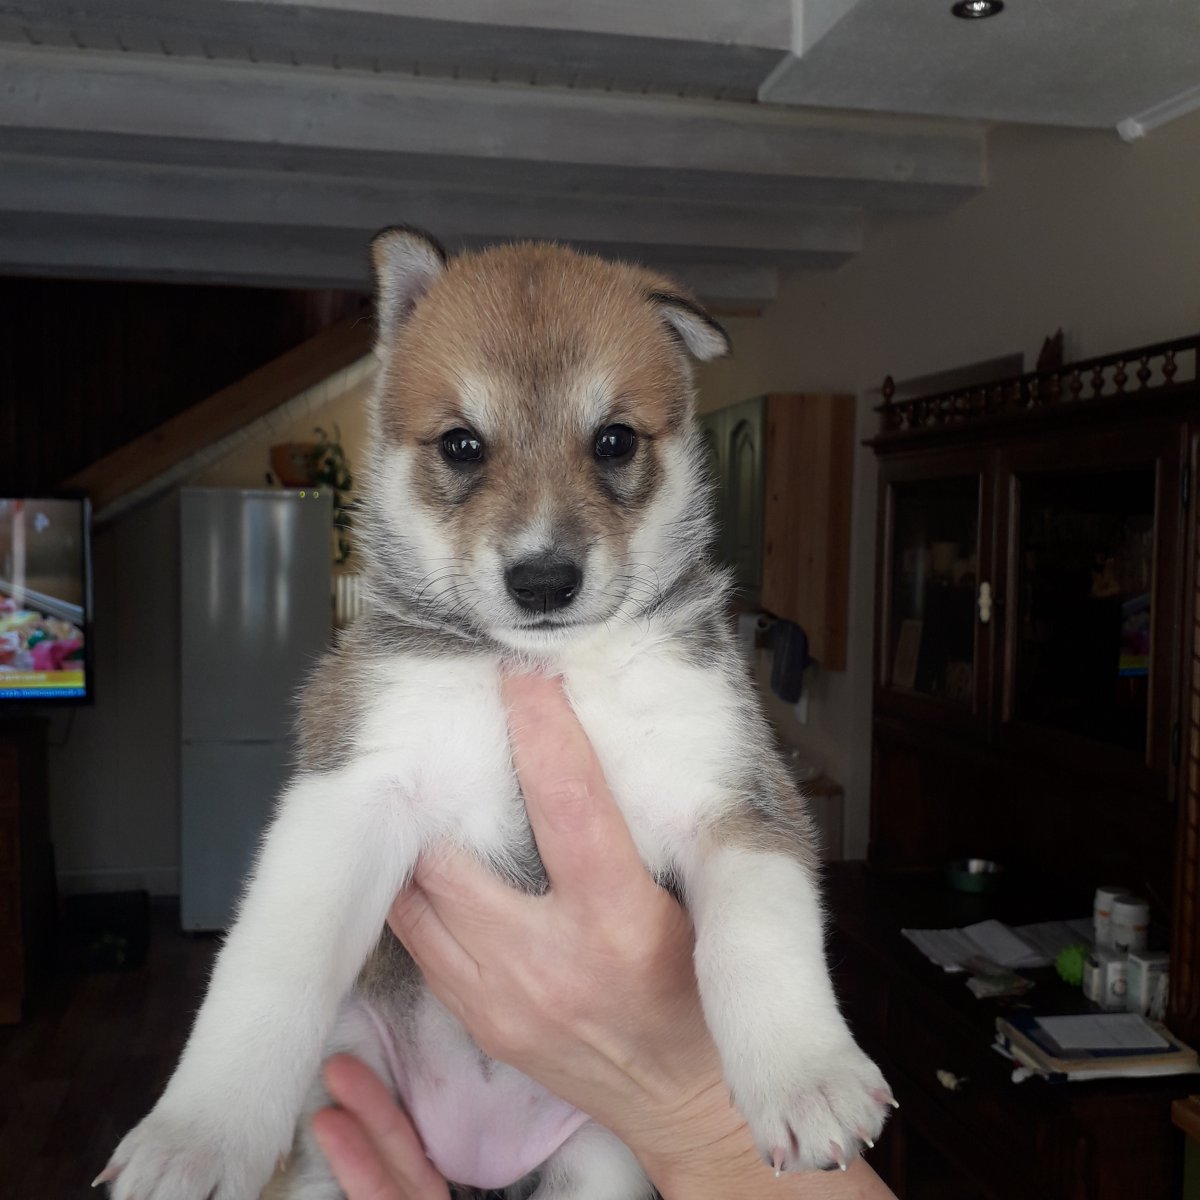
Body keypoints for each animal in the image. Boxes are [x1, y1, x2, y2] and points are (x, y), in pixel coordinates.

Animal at [102, 231, 891, 1199]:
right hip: (336, 1111)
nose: (544, 580)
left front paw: (808, 1076)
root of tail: (475, 1152)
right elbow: (269, 964)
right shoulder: (350, 792)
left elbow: (760, 937)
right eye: (463, 444)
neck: (549, 666)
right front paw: (197, 1133)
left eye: (614, 440)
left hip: (598, 1164)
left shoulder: (736, 794)